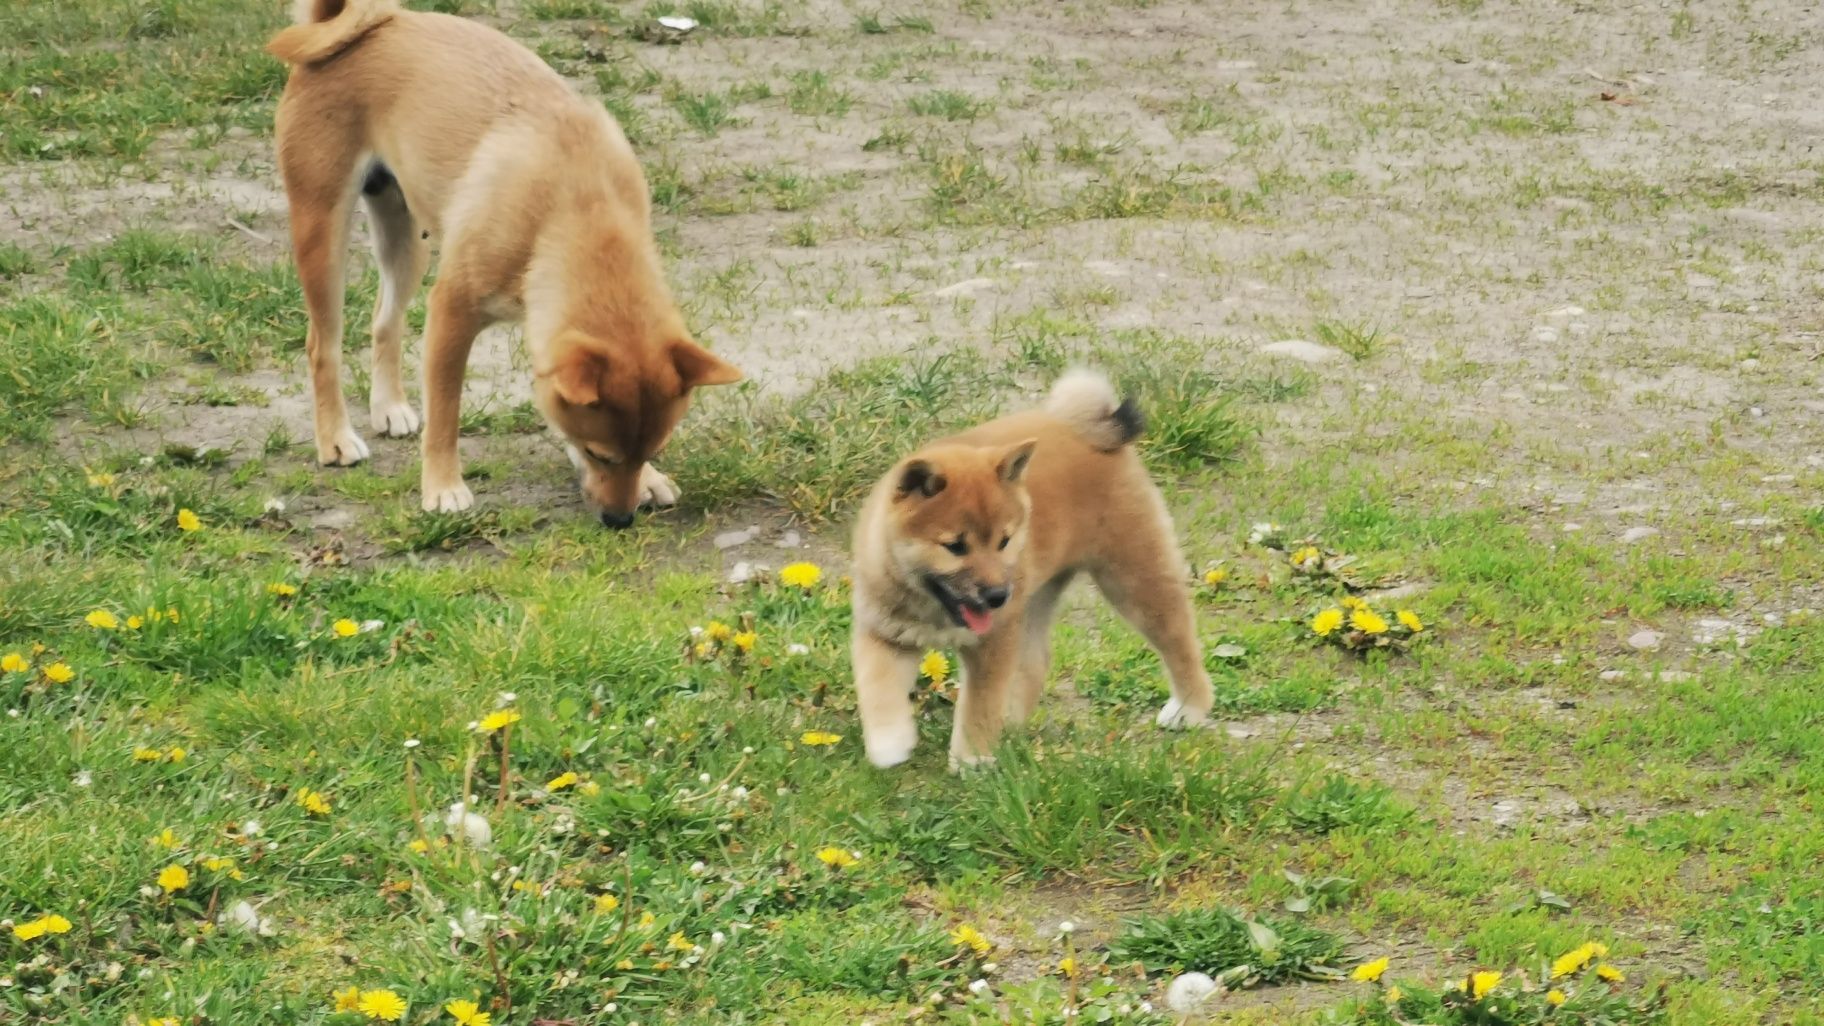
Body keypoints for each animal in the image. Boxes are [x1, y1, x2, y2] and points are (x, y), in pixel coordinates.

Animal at [266, 0, 736, 522]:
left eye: (651, 451)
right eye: (599, 454)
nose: (620, 520)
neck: (579, 201)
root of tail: (378, 22)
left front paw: (649, 480)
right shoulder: (451, 313)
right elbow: (446, 413)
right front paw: (443, 486)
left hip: (407, 240)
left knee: (384, 322)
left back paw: (388, 407)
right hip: (322, 232)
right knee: (321, 345)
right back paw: (335, 439)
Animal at [849, 368, 1211, 766]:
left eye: (1003, 541)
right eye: (955, 547)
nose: (996, 596)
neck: (932, 608)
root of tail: (1083, 428)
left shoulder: (993, 642)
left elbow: (978, 706)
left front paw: (973, 759)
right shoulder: (884, 632)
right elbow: (877, 688)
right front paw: (889, 742)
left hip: (1131, 577)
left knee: (1179, 640)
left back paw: (1189, 708)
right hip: (1034, 597)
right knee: (1036, 661)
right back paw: (1009, 724)